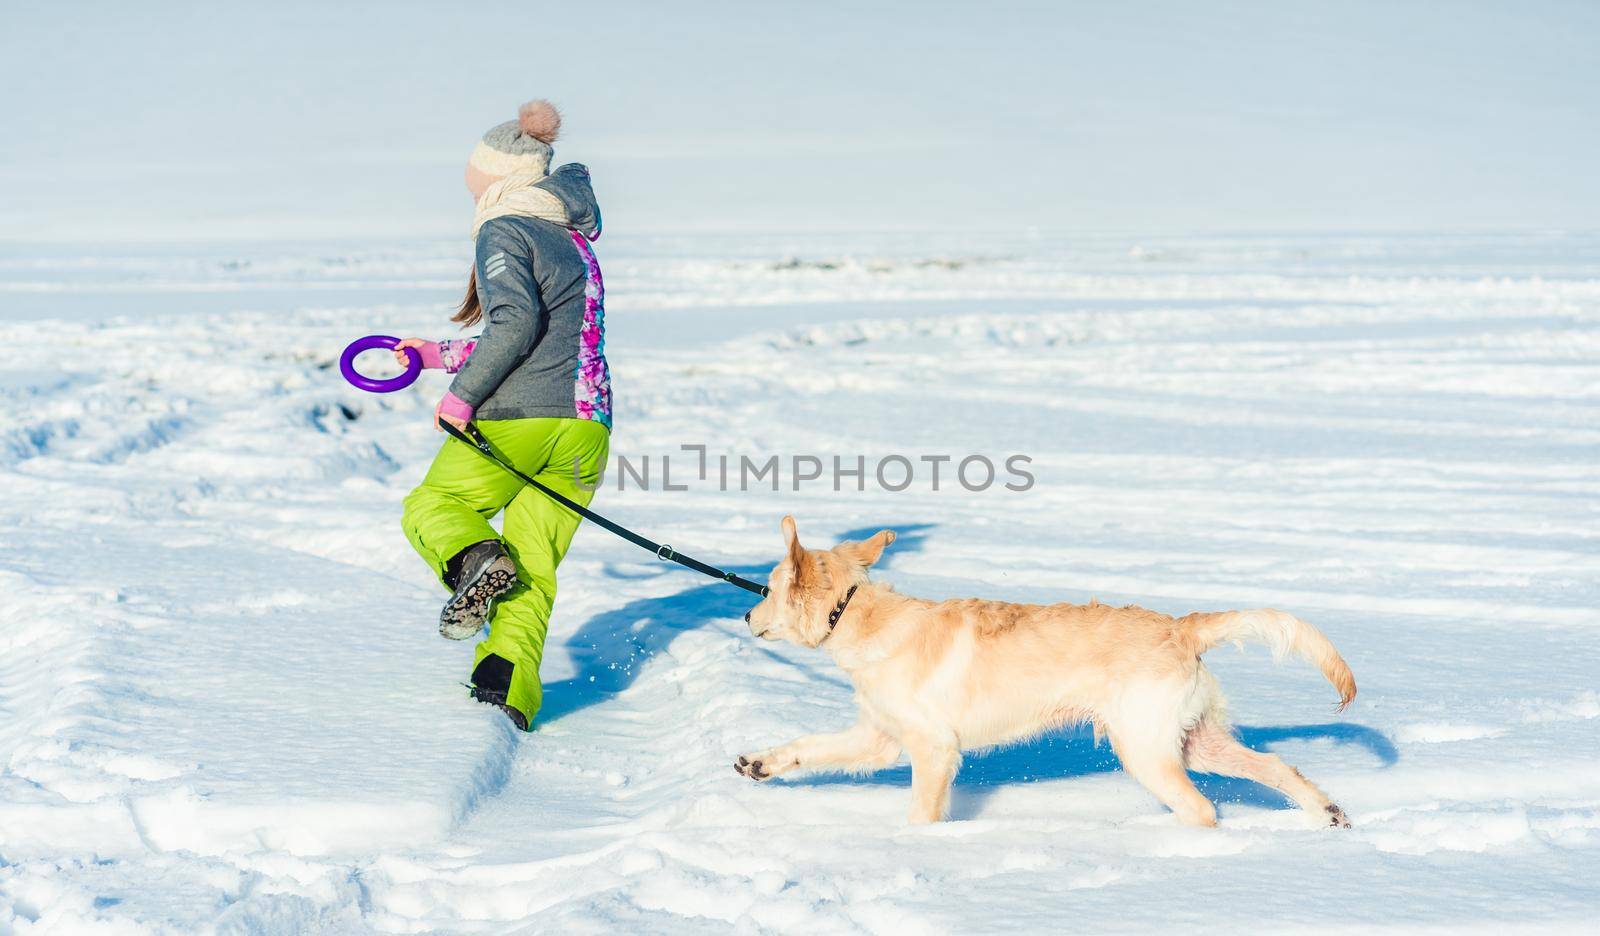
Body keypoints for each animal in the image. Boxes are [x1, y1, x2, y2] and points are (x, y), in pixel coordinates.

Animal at [732, 515, 1350, 825]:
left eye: (769, 586)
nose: (743, 613)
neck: (859, 614)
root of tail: (1183, 626)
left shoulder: (933, 748)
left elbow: (921, 814)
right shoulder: (879, 736)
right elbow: (808, 746)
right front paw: (760, 762)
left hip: (1144, 748)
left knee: (1201, 807)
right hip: (1192, 739)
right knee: (1275, 768)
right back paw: (1326, 814)